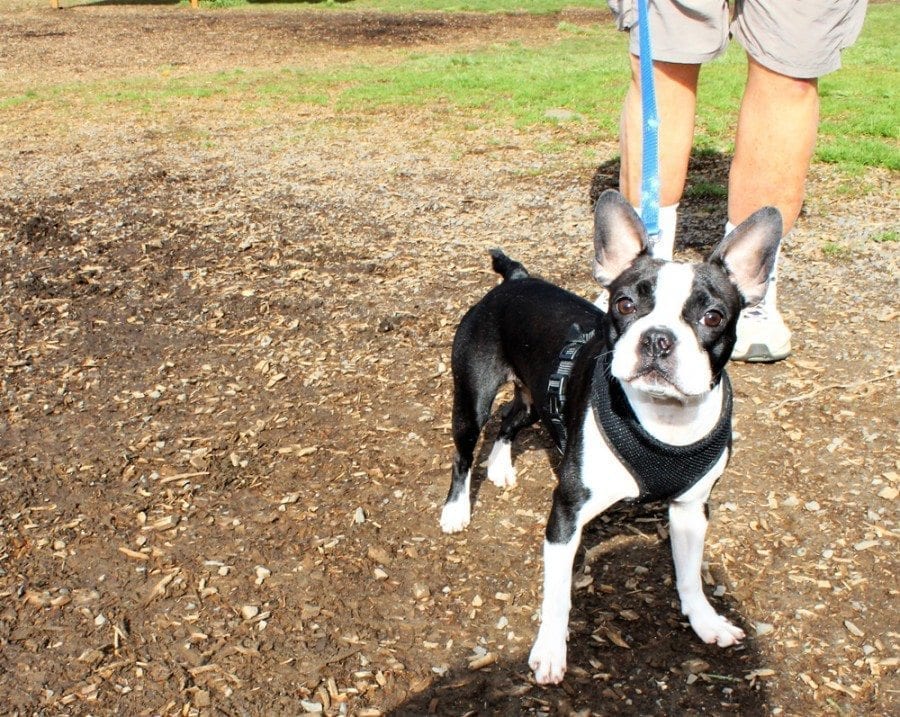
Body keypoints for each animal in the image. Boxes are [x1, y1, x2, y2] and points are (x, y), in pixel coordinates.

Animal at [442, 190, 780, 684]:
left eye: (713, 316)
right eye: (623, 305)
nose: (658, 338)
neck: (662, 420)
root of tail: (516, 279)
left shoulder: (691, 509)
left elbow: (690, 573)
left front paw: (705, 620)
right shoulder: (566, 516)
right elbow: (557, 596)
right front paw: (550, 650)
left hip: (535, 398)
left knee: (509, 419)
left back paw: (501, 466)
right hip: (472, 397)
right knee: (465, 452)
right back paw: (455, 509)